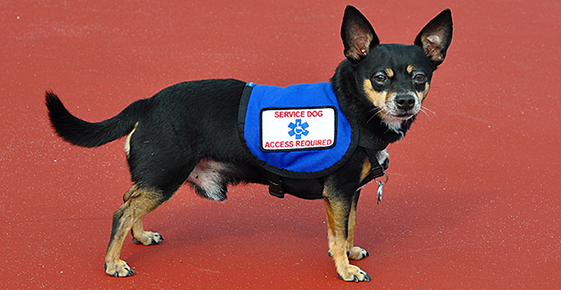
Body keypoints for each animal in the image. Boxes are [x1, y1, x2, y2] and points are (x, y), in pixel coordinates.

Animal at [46, 6, 452, 284]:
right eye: (380, 78)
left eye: (419, 78)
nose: (405, 101)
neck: (354, 107)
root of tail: (147, 103)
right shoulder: (337, 191)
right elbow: (337, 235)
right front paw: (345, 268)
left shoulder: (350, 193)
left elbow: (349, 227)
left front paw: (351, 252)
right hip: (165, 176)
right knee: (122, 211)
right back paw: (113, 262)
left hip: (157, 180)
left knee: (130, 203)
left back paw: (141, 236)